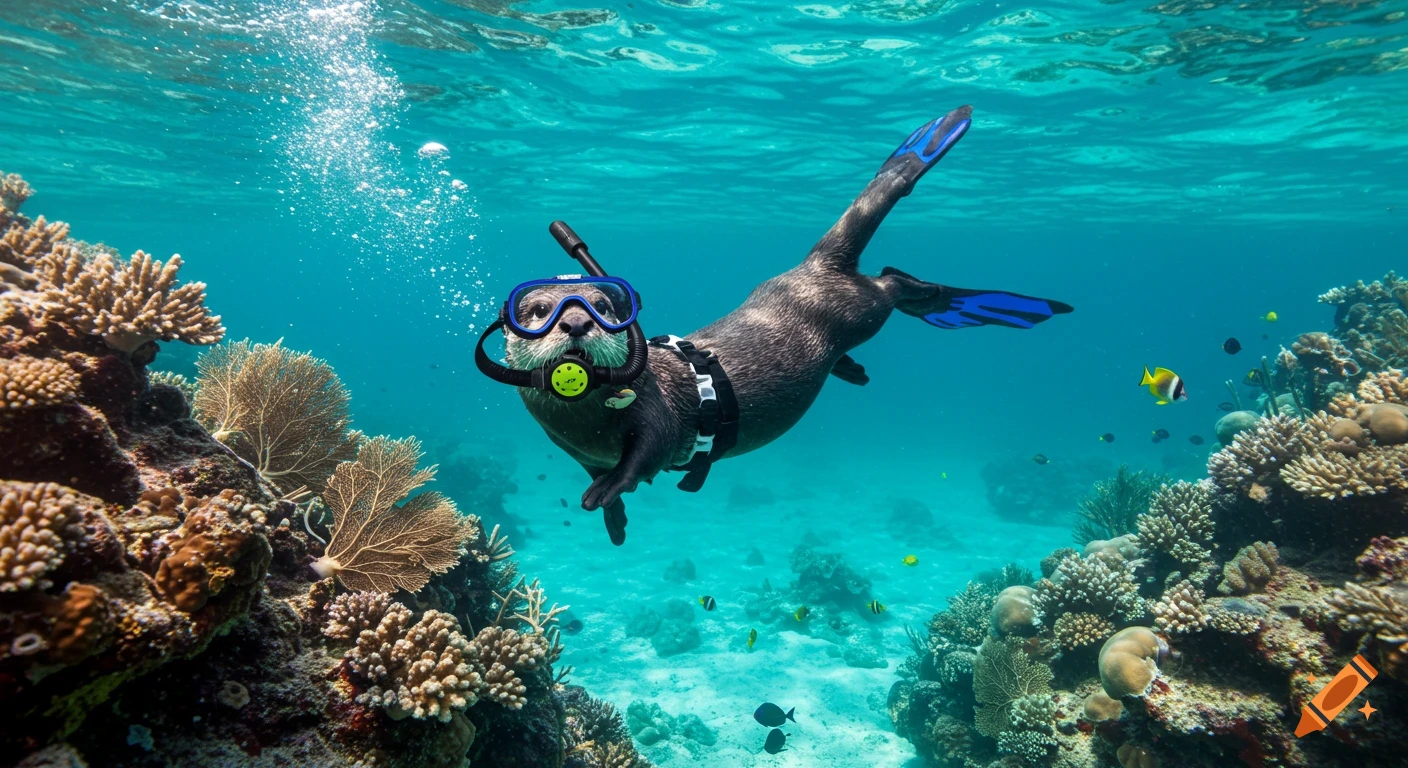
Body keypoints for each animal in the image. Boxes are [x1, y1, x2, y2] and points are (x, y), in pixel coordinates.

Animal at [499, 106, 1071, 544]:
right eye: (537, 312)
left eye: (603, 305)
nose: (576, 322)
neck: (589, 425)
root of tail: (814, 265)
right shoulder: (574, 451)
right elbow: (597, 471)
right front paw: (616, 524)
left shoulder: (657, 412)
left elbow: (644, 454)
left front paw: (608, 493)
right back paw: (857, 369)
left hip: (856, 308)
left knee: (888, 283)